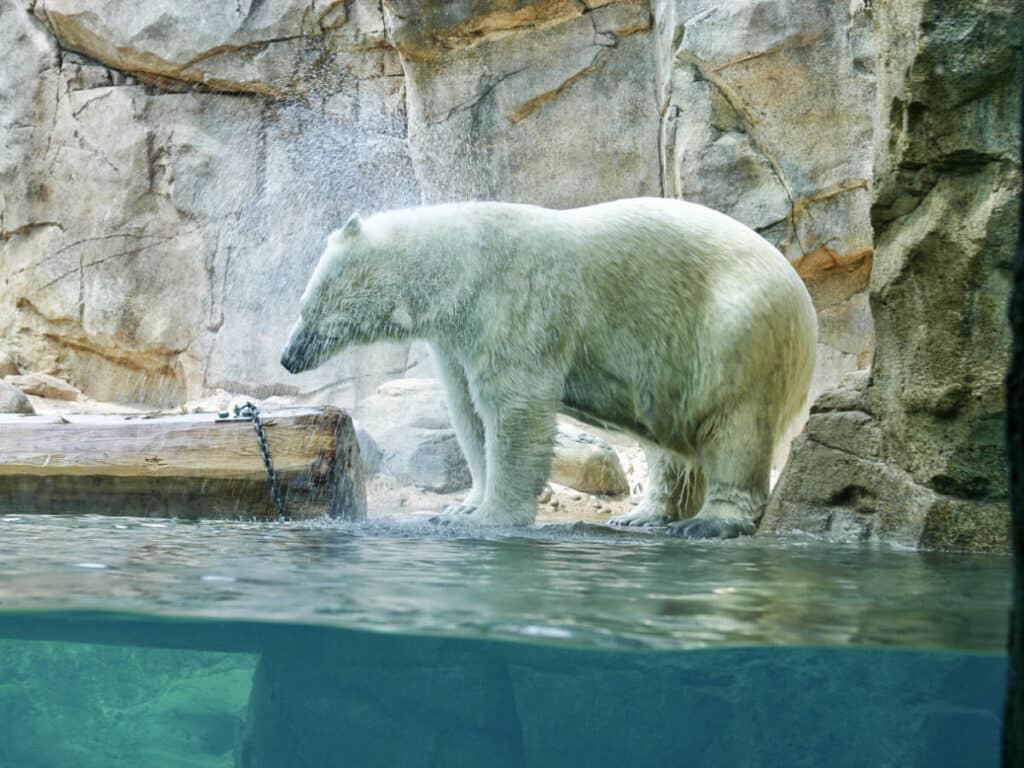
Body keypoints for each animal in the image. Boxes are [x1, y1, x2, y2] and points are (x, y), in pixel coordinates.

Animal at [281, 198, 817, 538]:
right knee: (669, 442)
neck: (460, 264)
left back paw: (709, 522)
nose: (288, 357)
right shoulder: (457, 339)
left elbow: (514, 408)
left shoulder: (516, 301)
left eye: (309, 307)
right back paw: (641, 517)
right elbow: (468, 414)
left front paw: (489, 518)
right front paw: (459, 507)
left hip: (736, 329)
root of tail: (804, 305)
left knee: (735, 425)